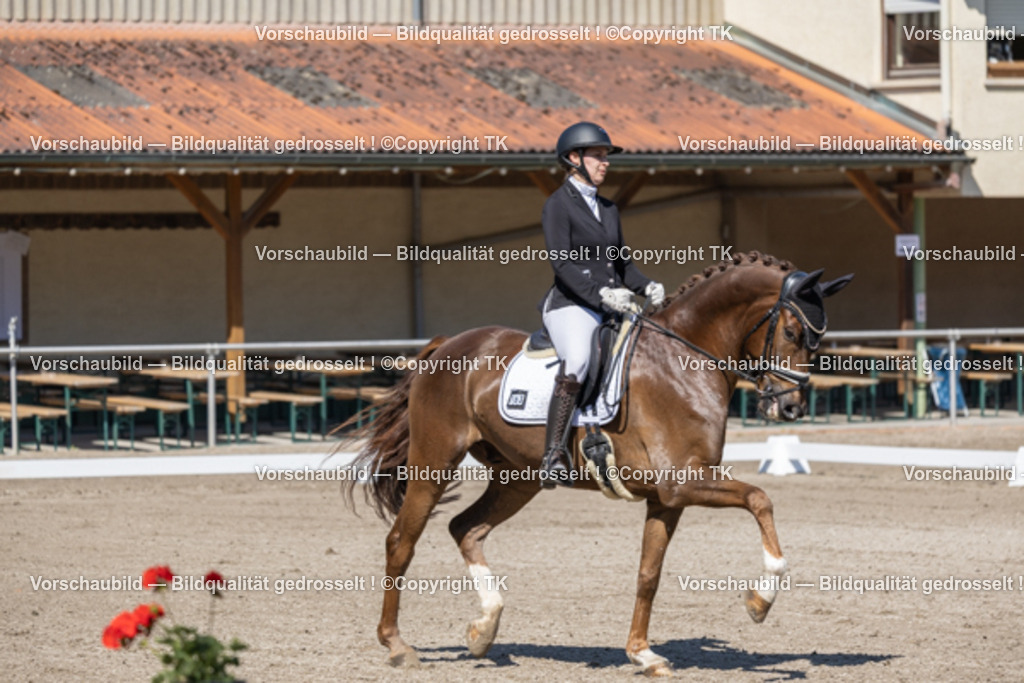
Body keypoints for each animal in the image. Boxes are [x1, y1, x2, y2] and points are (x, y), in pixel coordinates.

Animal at [343, 251, 852, 677]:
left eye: (819, 341)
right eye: (792, 333)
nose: (789, 409)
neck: (683, 360)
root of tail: (450, 344)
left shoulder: (667, 498)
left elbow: (649, 574)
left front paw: (642, 653)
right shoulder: (681, 483)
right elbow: (760, 498)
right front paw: (760, 601)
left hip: (517, 478)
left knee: (465, 528)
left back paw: (484, 629)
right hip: (434, 463)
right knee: (401, 543)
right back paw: (398, 646)